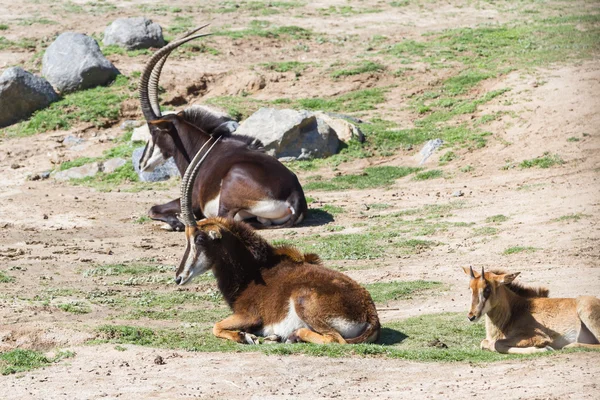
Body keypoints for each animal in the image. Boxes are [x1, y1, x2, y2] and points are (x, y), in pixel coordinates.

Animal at [138, 25, 308, 231]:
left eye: (154, 131)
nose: (141, 164)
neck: (201, 148)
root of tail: (295, 197)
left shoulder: (194, 202)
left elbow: (152, 208)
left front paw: (174, 222)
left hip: (229, 187)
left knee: (222, 218)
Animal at [171, 147, 380, 344]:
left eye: (199, 239)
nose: (179, 278)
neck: (254, 271)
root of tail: (370, 313)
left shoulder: (249, 315)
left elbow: (216, 326)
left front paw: (245, 336)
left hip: (303, 300)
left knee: (334, 339)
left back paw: (290, 335)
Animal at [464, 266, 600, 354]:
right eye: (470, 288)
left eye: (487, 289)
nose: (471, 316)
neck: (514, 310)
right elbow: (484, 343)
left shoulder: (534, 335)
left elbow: (498, 343)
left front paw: (544, 347)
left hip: (586, 311)